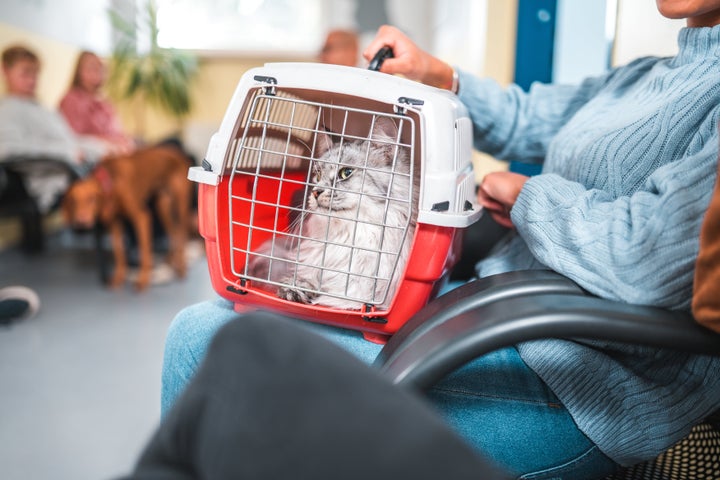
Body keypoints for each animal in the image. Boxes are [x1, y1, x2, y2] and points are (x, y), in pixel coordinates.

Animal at [63, 144, 193, 290]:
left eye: (92, 199)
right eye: (73, 201)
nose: (81, 222)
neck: (112, 179)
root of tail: (179, 153)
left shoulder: (142, 217)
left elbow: (144, 251)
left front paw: (143, 280)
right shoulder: (115, 223)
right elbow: (119, 253)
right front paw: (118, 278)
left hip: (180, 207)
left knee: (182, 234)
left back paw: (181, 267)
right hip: (163, 207)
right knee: (173, 233)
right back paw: (171, 260)